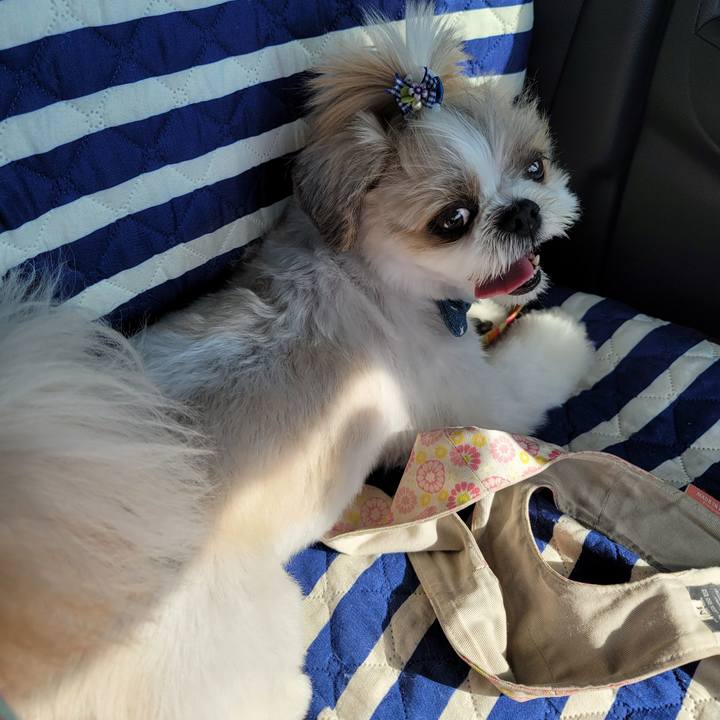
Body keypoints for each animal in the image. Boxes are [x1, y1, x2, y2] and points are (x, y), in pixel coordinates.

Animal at [0, 4, 593, 718]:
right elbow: (529, 372)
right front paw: (568, 336)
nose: (525, 212)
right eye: (454, 218)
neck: (376, 271)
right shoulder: (474, 403)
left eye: (535, 167)